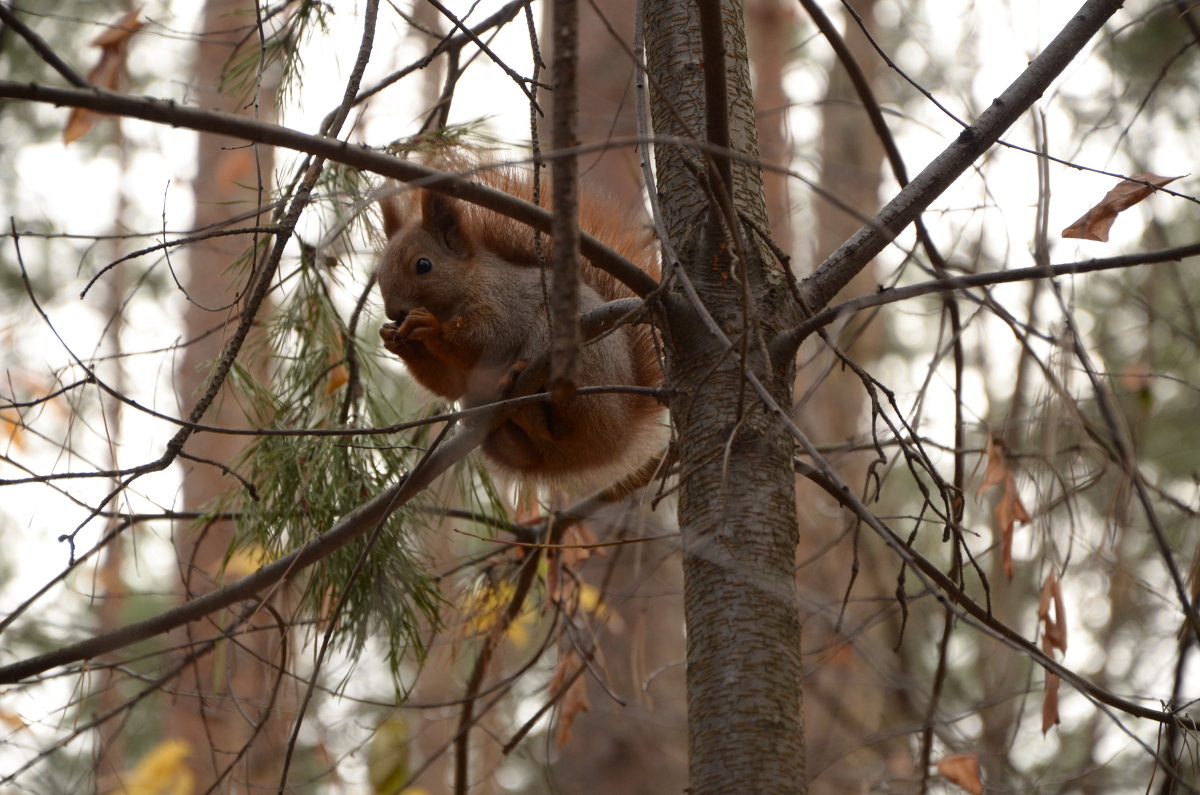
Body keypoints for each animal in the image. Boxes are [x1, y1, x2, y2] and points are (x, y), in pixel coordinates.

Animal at [376, 156, 667, 489]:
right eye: (378, 273)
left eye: (423, 265)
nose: (394, 313)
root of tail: (621, 434)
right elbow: (450, 383)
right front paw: (395, 340)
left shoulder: (505, 301)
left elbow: (491, 338)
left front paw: (431, 329)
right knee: (535, 442)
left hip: (569, 352)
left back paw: (524, 390)